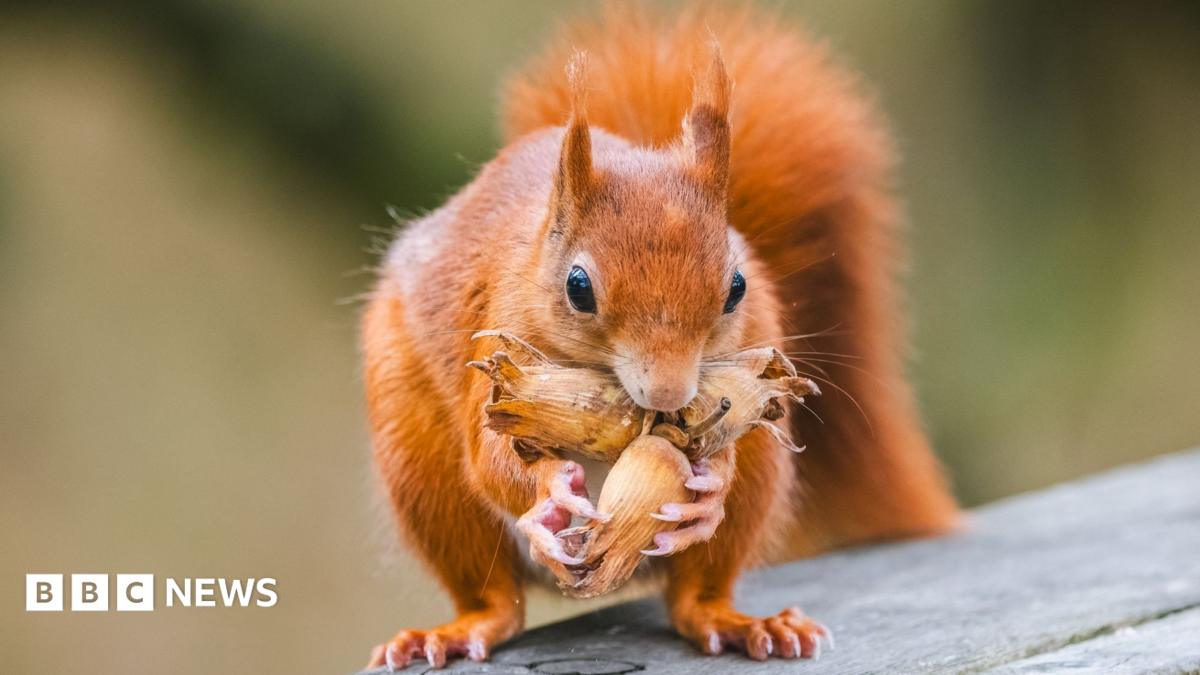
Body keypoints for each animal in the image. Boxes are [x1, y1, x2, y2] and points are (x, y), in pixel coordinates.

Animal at [362, 5, 959, 670]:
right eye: (578, 287)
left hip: (761, 472)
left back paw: (741, 619)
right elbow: (489, 457)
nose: (672, 395)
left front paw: (710, 489)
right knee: (495, 600)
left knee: (694, 596)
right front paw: (550, 488)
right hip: (422, 470)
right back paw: (457, 629)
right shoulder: (492, 348)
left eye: (737, 286)